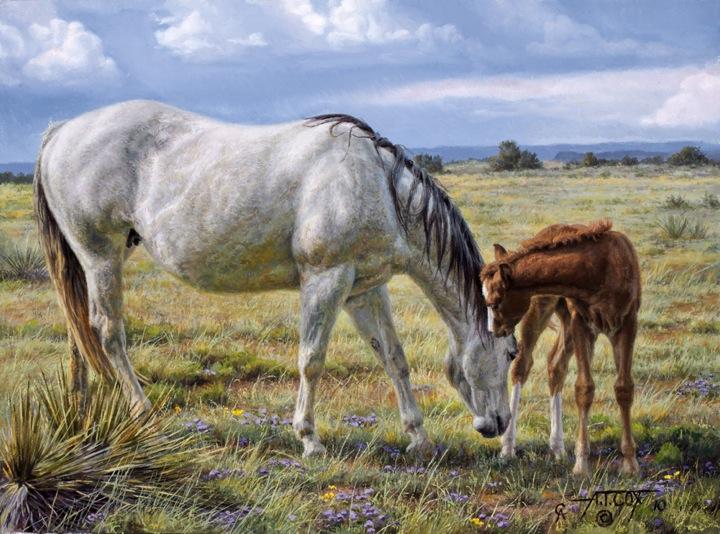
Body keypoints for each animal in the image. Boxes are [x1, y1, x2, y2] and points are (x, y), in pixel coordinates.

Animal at [34, 100, 517, 458]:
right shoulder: (326, 279)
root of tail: (61, 130)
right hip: (100, 253)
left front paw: (418, 437)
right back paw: (143, 413)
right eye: (510, 352)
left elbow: (394, 358)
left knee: (80, 332)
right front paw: (309, 439)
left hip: (90, 259)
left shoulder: (364, 290)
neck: (378, 185)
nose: (499, 425)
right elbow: (311, 359)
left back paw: (82, 413)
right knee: (108, 332)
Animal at [479, 221, 641, 475]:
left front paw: (631, 464)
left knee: (556, 366)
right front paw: (581, 466)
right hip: (540, 310)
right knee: (522, 366)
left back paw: (557, 448)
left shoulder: (627, 325)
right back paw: (507, 449)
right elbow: (584, 389)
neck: (601, 268)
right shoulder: (581, 324)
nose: (494, 331)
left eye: (494, 303)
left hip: (567, 327)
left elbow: (624, 388)